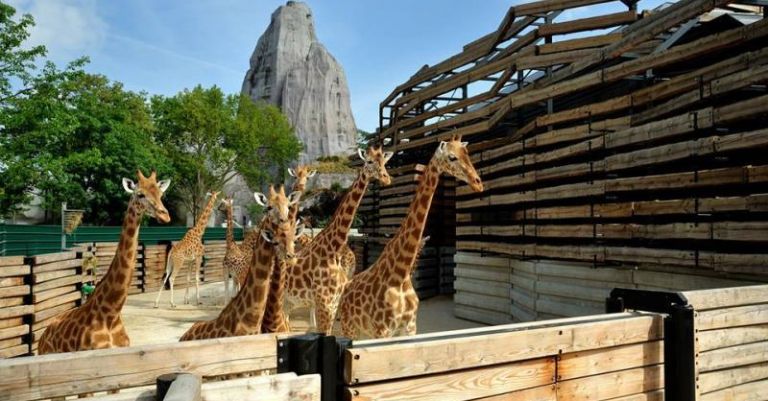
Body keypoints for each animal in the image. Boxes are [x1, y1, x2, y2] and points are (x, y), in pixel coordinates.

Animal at [284, 145, 396, 332]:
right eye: (369, 161)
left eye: (384, 162)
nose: (386, 179)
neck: (333, 247)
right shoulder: (323, 302)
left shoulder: (330, 302)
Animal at [340, 136, 484, 340]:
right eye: (452, 157)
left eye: (468, 154)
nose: (478, 183)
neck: (401, 274)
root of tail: (346, 290)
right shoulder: (383, 330)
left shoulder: (409, 328)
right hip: (349, 328)